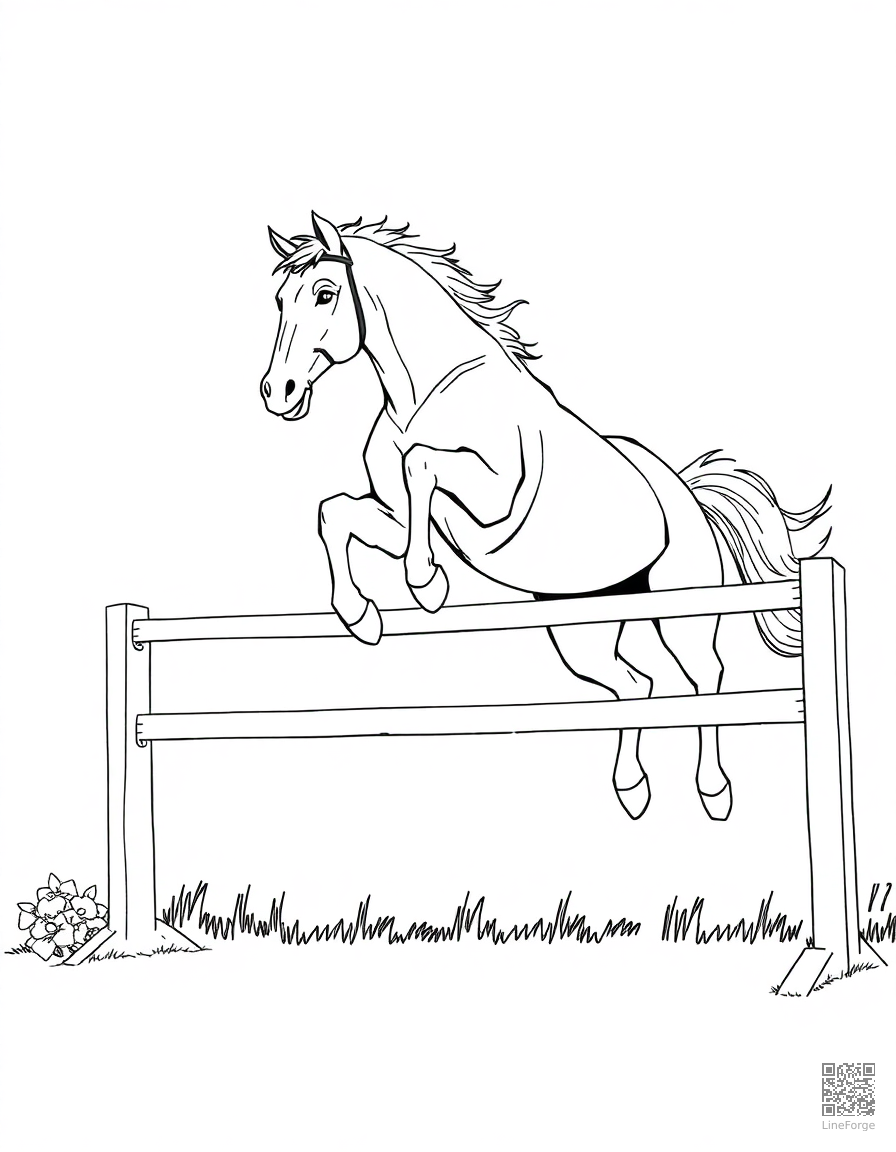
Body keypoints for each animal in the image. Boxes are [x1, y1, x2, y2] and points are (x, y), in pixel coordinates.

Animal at [259, 212, 830, 822]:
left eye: (324, 293)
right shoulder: (396, 514)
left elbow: (421, 466)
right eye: (280, 299)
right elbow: (337, 514)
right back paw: (632, 789)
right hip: (584, 626)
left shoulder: (492, 499)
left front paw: (427, 586)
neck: (428, 395)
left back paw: (713, 792)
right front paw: (362, 616)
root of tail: (688, 498)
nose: (277, 392)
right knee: (636, 685)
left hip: (683, 609)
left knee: (706, 677)